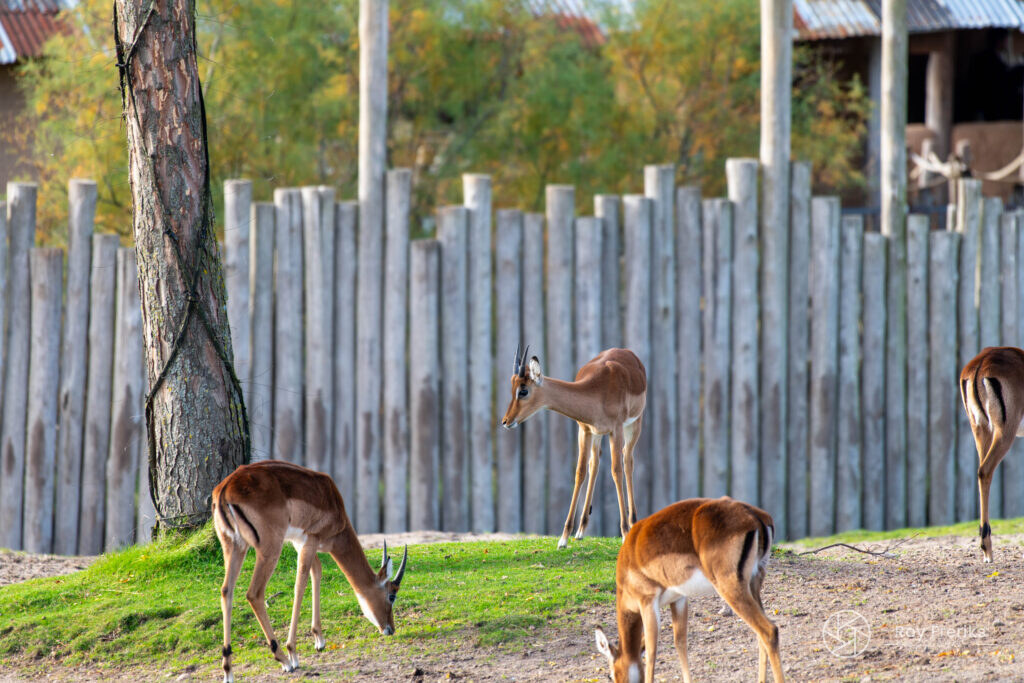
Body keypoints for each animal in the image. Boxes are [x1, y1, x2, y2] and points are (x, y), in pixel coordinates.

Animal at [212, 460, 408, 682]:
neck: (333, 502)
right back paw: (284, 660)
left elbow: (317, 573)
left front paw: (319, 640)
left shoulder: (300, 542)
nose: (390, 629)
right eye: (392, 595)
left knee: (226, 591)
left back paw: (228, 669)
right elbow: (301, 584)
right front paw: (293, 652)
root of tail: (225, 489)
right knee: (254, 593)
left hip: (234, 547)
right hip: (269, 549)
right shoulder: (311, 540)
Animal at [501, 345, 646, 548]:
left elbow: (616, 471)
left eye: (523, 391)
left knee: (627, 462)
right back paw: (581, 530)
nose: (506, 421)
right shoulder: (584, 430)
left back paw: (632, 523)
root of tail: (627, 352)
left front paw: (624, 532)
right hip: (596, 435)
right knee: (595, 465)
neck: (598, 390)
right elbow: (580, 473)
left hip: (634, 425)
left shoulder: (615, 430)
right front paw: (563, 538)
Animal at [594, 497, 783, 683]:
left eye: (610, 675)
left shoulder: (647, 601)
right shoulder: (679, 599)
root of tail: (756, 517)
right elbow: (680, 643)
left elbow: (652, 650)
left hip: (730, 588)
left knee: (769, 631)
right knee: (760, 634)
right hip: (754, 584)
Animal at [960, 346, 1024, 562]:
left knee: (981, 472)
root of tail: (980, 363)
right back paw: (987, 548)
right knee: (986, 470)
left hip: (980, 428)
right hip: (1004, 431)